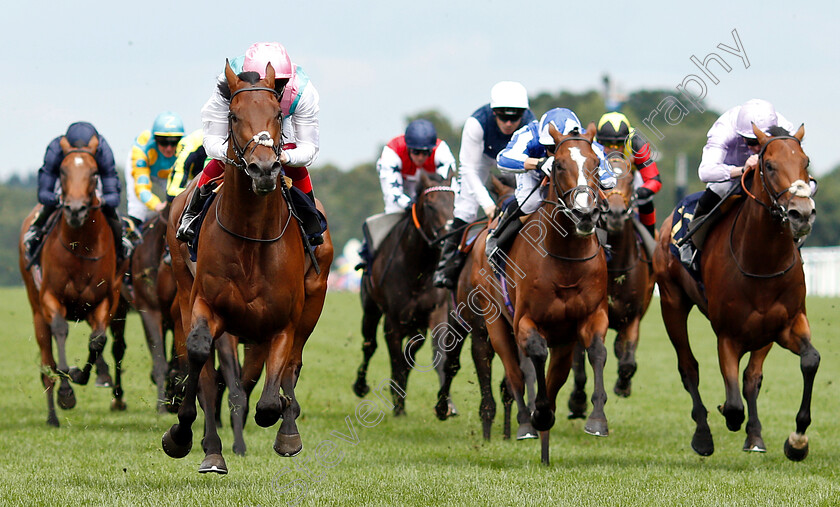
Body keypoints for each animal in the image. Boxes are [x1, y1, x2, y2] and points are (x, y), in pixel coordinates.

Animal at [162, 61, 334, 474]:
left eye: (277, 115)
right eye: (234, 115)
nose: (264, 169)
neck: (252, 238)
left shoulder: (284, 322)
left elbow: (271, 397)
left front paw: (285, 424)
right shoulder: (206, 306)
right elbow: (201, 361)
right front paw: (181, 433)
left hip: (314, 300)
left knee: (291, 366)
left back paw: (288, 426)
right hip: (184, 291)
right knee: (208, 376)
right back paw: (212, 449)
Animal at [352, 172, 456, 416]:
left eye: (454, 201)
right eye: (430, 205)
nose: (448, 238)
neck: (418, 270)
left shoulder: (435, 312)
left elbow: (429, 356)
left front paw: (444, 406)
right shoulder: (393, 321)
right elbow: (397, 360)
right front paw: (398, 406)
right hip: (370, 309)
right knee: (369, 345)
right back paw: (361, 386)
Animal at [470, 124, 608, 464]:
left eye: (596, 163)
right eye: (558, 164)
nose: (585, 213)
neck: (565, 258)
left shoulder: (591, 317)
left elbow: (597, 351)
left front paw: (597, 419)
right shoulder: (525, 321)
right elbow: (534, 356)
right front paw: (539, 414)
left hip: (564, 340)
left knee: (553, 378)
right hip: (495, 323)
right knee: (514, 373)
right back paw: (526, 424)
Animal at [568, 154, 652, 416]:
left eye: (631, 181)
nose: (615, 213)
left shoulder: (632, 317)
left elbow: (627, 362)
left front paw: (622, 386)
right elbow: (579, 366)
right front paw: (577, 401)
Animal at [652, 123, 816, 460]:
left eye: (805, 162)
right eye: (769, 166)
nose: (802, 213)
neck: (762, 261)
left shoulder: (783, 324)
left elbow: (807, 361)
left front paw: (796, 440)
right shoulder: (727, 335)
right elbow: (733, 404)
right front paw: (727, 417)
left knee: (751, 378)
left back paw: (754, 435)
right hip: (672, 303)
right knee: (688, 367)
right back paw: (703, 435)